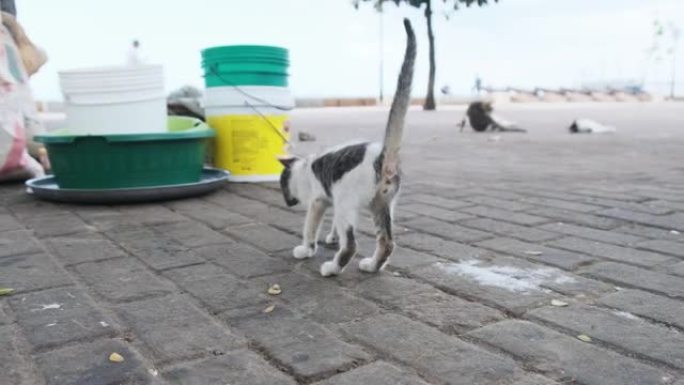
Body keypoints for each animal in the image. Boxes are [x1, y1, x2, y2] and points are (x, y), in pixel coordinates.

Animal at [278, 18, 416, 276]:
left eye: (282, 186)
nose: (287, 202)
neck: (305, 167)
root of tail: (383, 159)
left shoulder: (319, 201)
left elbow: (309, 227)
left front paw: (306, 249)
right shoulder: (331, 199)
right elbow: (333, 225)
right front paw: (332, 237)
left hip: (347, 201)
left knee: (351, 244)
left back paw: (332, 268)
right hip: (382, 205)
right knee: (387, 242)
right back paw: (372, 266)